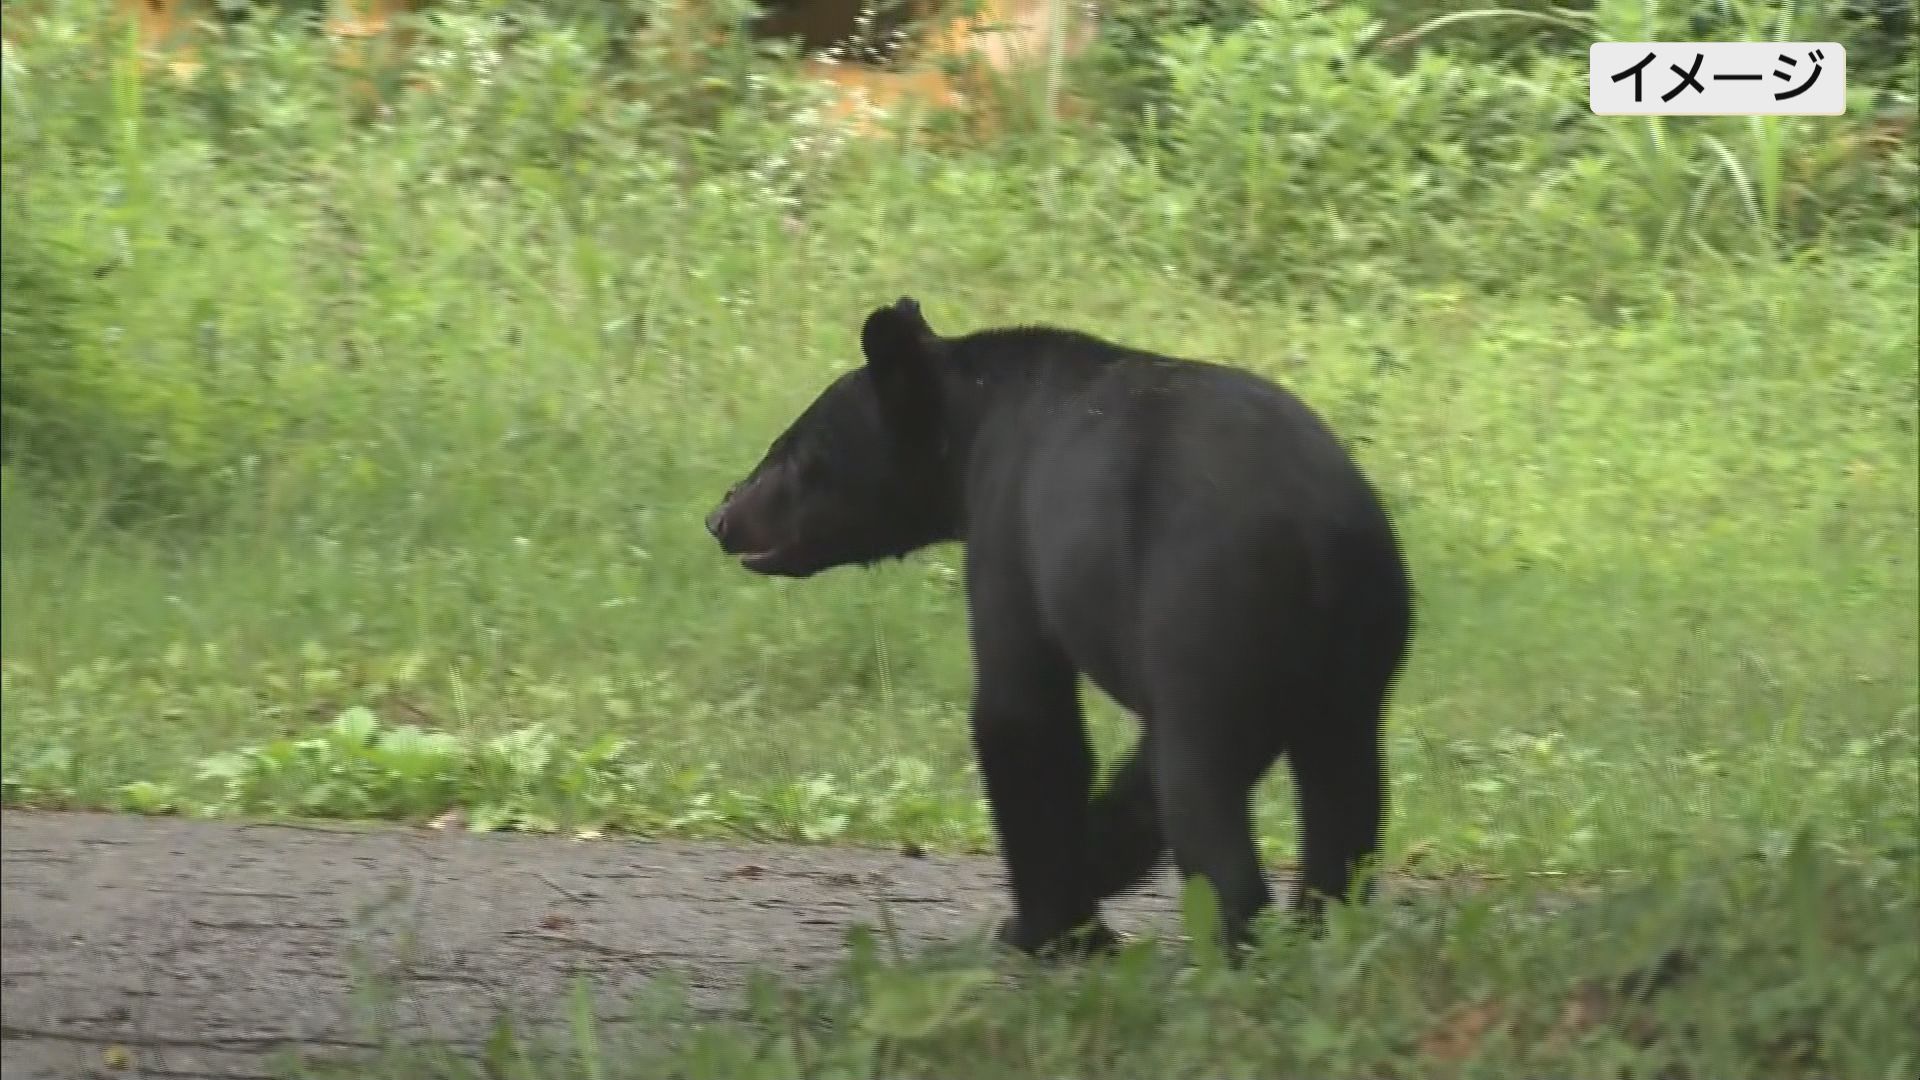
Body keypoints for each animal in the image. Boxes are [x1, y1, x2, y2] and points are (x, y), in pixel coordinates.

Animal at [706, 297, 1413, 953]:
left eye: (790, 450)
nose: (720, 516)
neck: (977, 419)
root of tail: (1317, 539)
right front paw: (1092, 871)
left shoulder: (1010, 528)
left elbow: (1022, 715)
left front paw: (1049, 924)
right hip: (1357, 652)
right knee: (1345, 796)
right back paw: (1323, 932)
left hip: (1208, 608)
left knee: (1203, 791)